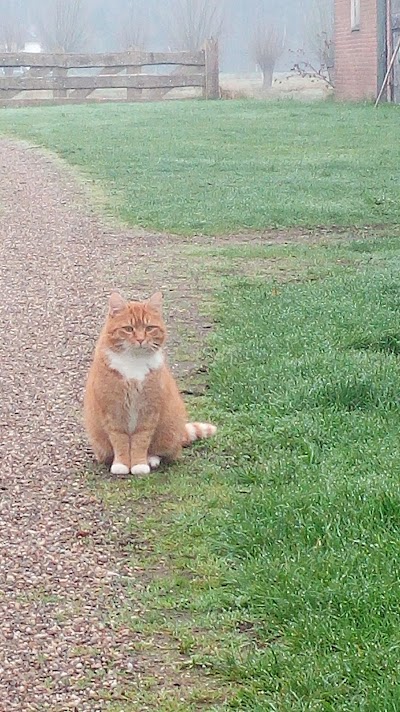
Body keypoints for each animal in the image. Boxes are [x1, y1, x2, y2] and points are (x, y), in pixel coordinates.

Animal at [83, 292, 217, 476]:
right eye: (129, 329)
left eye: (149, 328)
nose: (140, 339)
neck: (134, 362)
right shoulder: (113, 412)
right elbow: (120, 441)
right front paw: (121, 464)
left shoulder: (149, 410)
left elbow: (141, 440)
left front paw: (139, 464)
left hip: (169, 431)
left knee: (163, 451)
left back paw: (151, 459)